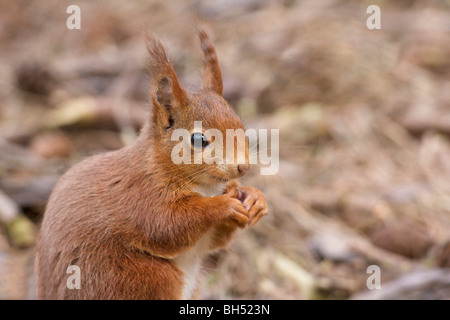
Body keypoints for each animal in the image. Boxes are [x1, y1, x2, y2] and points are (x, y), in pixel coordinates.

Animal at [36, 28, 268, 298]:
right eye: (198, 140)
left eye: (242, 128)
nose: (243, 167)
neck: (204, 187)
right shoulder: (141, 195)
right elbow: (168, 225)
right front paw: (222, 206)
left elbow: (217, 239)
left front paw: (254, 198)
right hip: (140, 277)